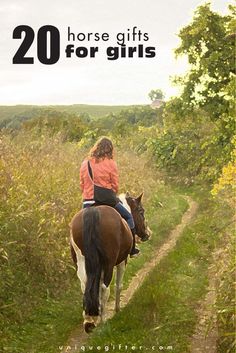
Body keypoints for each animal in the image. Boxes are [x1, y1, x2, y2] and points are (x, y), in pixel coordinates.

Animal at [69, 192, 150, 332]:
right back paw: (102, 320)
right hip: (108, 263)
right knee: (104, 288)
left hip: (81, 262)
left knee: (85, 286)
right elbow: (119, 285)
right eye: (141, 211)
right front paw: (117, 309)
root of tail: (93, 213)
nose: (147, 234)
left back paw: (89, 320)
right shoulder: (122, 261)